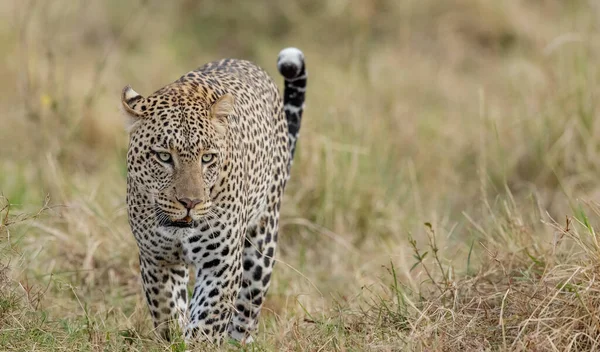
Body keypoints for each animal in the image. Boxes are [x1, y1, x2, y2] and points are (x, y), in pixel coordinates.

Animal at [119, 46, 308, 344]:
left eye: (207, 158)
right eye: (164, 156)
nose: (190, 203)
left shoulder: (221, 262)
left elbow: (207, 321)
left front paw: (196, 342)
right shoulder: (157, 259)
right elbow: (168, 312)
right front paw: (173, 338)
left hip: (262, 241)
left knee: (247, 309)